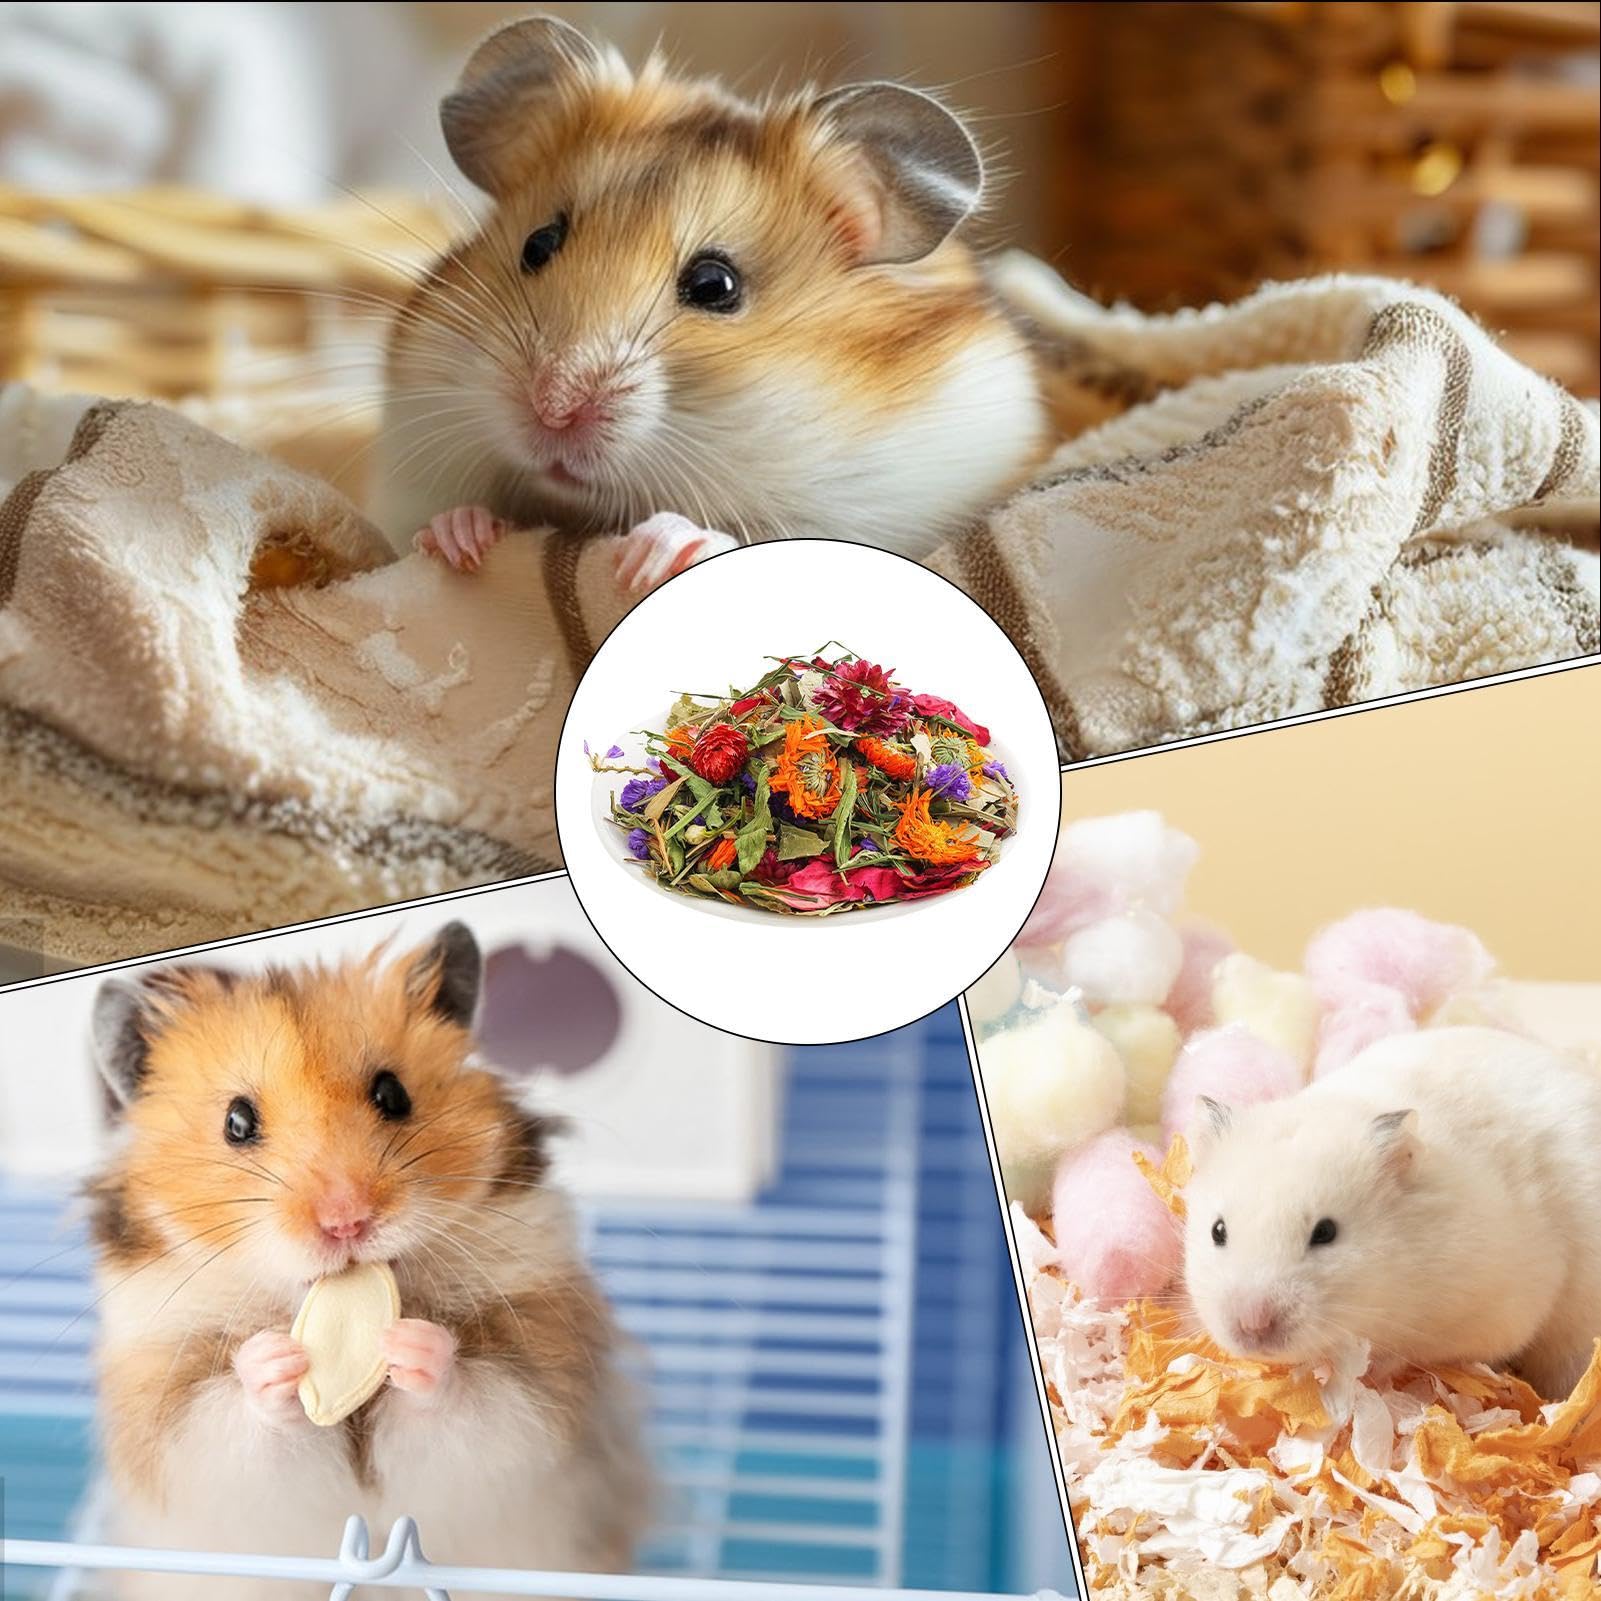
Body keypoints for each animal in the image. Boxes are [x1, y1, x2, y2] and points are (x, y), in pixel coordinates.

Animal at [84, 922, 649, 1600]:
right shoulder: (175, 1423)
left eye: (392, 1093)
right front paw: (273, 1360)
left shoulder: (538, 1395)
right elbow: (234, 1425)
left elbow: (474, 1405)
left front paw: (414, 1344)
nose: (347, 1221)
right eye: (237, 1122)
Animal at [1181, 1026, 1601, 1400]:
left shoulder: (1495, 1311)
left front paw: (1366, 1376)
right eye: (1218, 1231)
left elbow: (1409, 1354)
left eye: (1326, 1233)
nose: (1252, 1327)